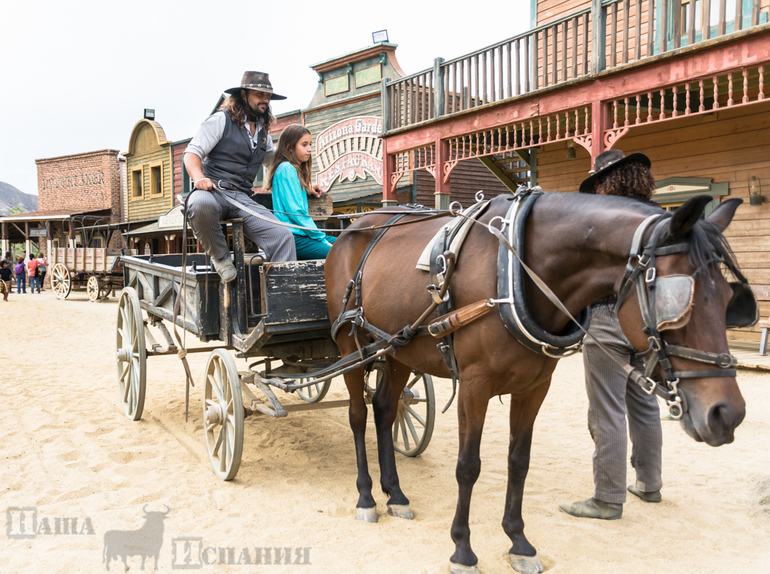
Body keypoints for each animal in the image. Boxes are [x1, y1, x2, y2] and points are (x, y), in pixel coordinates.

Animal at [322, 194, 752, 574]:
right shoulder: (474, 384)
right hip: (350, 347)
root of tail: (351, 228)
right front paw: (462, 549)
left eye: (728, 297)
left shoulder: (535, 387)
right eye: (675, 301)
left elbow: (519, 461)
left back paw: (394, 493)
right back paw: (366, 496)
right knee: (358, 415)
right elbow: (468, 466)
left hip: (395, 350)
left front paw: (519, 543)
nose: (726, 413)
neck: (515, 269)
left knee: (384, 410)